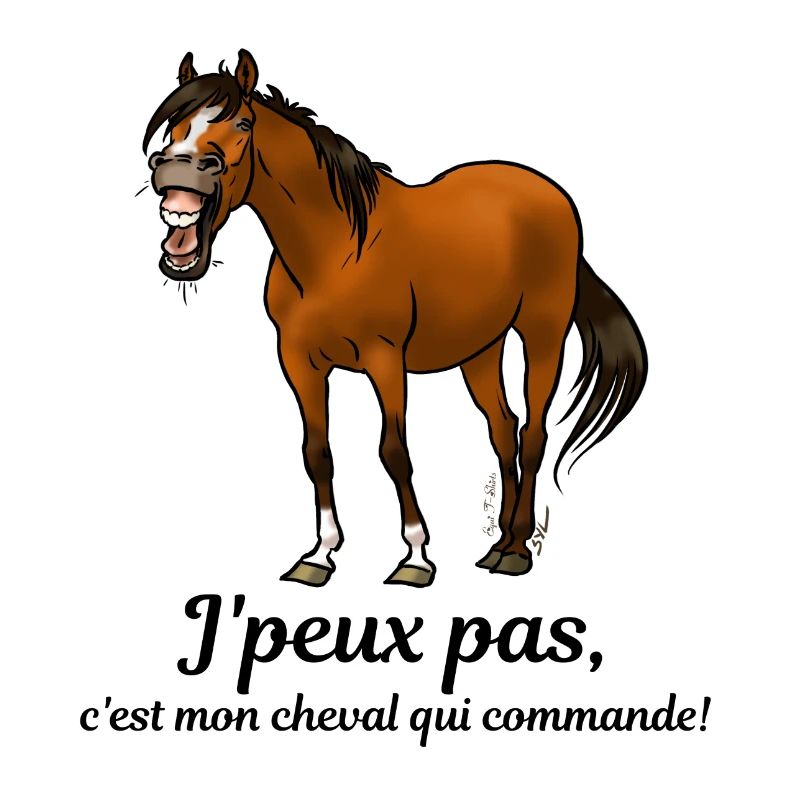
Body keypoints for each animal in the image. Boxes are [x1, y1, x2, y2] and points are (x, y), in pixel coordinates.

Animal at [143, 49, 648, 588]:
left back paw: (516, 552)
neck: (335, 250)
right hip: (481, 349)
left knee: (532, 433)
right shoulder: (300, 363)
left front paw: (416, 557)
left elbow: (394, 453)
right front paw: (319, 555)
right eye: (175, 125)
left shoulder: (384, 360)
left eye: (241, 122)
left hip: (542, 332)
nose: (175, 167)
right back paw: (499, 544)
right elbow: (317, 453)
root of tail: (552, 194)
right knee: (503, 428)